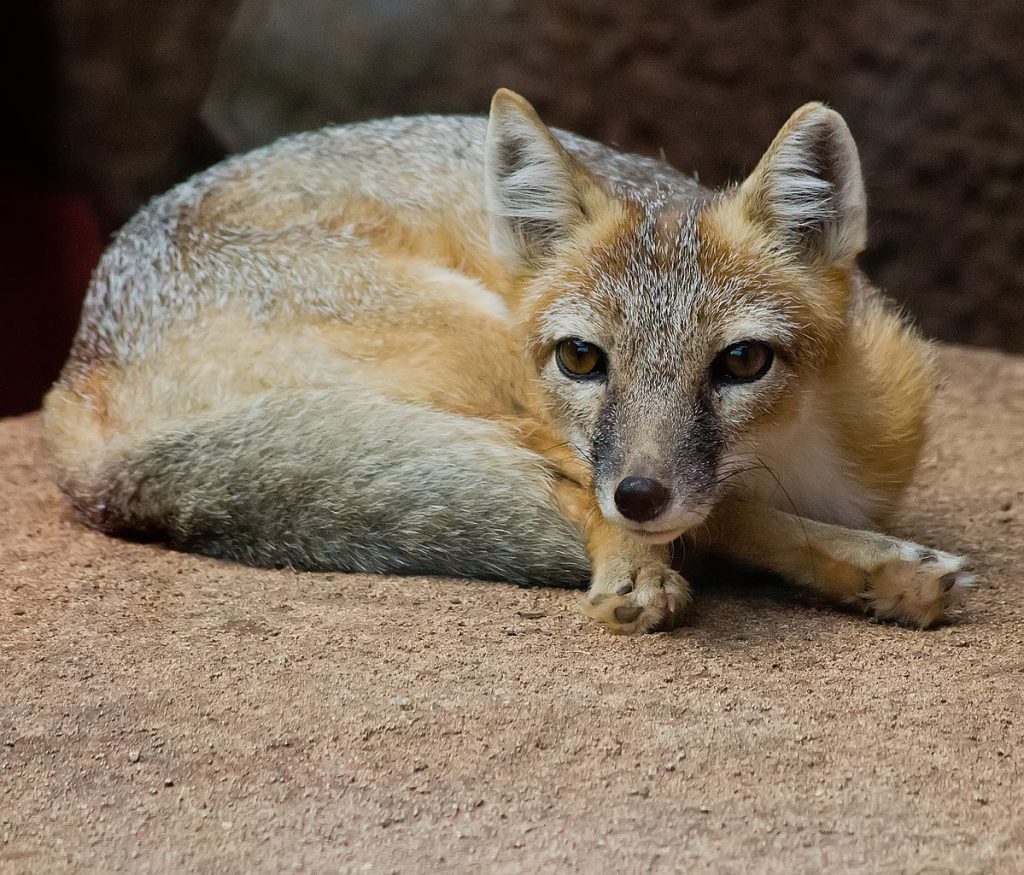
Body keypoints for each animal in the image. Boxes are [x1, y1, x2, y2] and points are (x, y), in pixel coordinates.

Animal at [44, 89, 974, 635]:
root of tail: (75, 373)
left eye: (742, 362)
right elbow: (708, 510)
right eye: (583, 357)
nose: (640, 496)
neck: (811, 459)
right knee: (577, 485)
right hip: (480, 339)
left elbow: (714, 506)